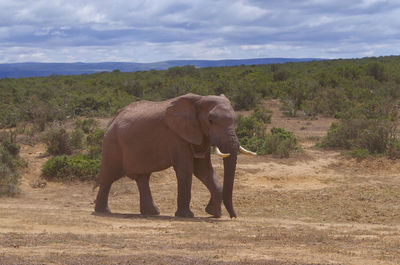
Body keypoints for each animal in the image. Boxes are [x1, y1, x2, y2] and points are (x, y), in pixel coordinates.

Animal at [94, 93, 256, 217]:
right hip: (111, 144)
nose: (233, 216)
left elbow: (204, 170)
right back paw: (103, 212)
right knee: (108, 177)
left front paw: (213, 213)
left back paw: (152, 213)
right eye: (210, 121)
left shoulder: (200, 135)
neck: (199, 100)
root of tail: (114, 119)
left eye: (235, 121)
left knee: (142, 178)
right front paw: (187, 216)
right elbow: (186, 169)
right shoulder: (176, 136)